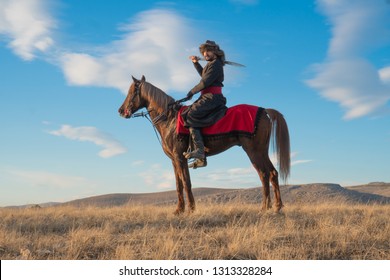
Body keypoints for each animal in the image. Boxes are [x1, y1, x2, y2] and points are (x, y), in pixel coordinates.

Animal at [119, 75, 290, 213]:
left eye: (131, 92)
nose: (120, 111)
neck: (169, 119)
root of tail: (264, 110)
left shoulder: (180, 157)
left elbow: (186, 182)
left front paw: (190, 209)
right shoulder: (174, 160)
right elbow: (179, 184)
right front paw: (179, 210)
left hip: (253, 151)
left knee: (263, 174)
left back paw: (264, 207)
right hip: (262, 151)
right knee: (273, 173)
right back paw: (277, 207)